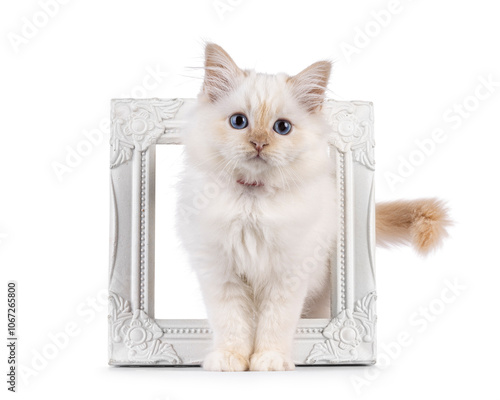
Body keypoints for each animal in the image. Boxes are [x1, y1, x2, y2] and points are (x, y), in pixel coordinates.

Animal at [178, 42, 452, 370]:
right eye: (238, 122)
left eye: (282, 127)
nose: (259, 143)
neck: (252, 204)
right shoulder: (220, 273)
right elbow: (230, 323)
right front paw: (230, 358)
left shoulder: (289, 274)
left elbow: (275, 323)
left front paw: (269, 359)